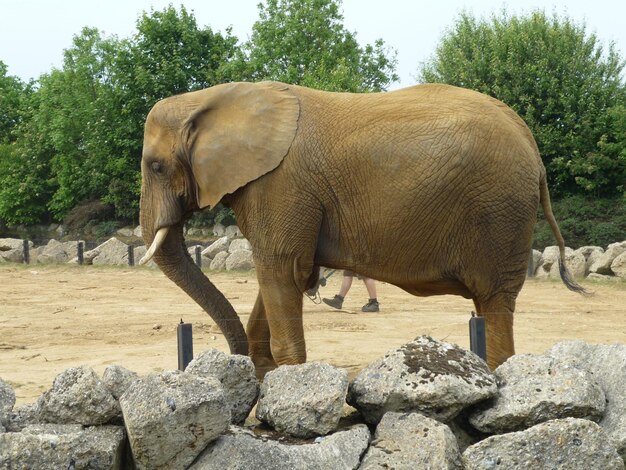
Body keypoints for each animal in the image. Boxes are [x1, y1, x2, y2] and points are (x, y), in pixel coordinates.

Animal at [139, 80, 584, 374]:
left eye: (155, 167)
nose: (238, 360)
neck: (209, 98)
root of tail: (532, 145)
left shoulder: (280, 185)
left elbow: (280, 269)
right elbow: (281, 274)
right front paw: (264, 374)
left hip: (499, 211)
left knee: (494, 302)